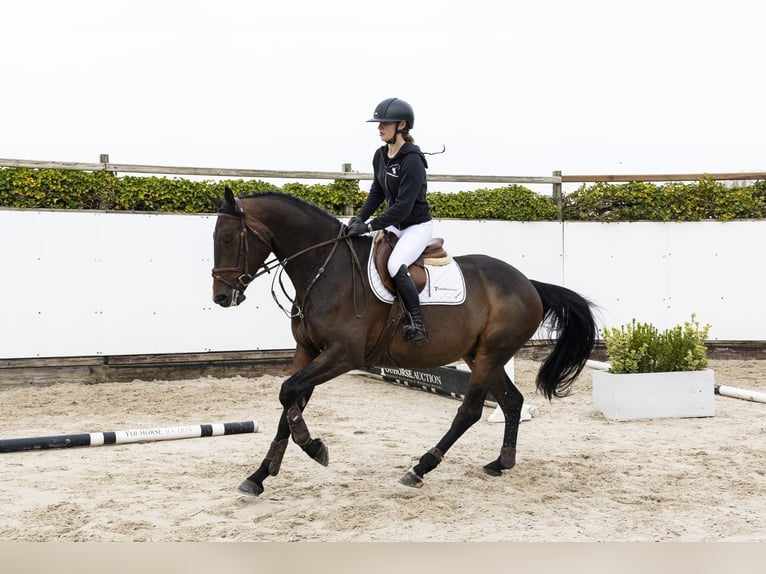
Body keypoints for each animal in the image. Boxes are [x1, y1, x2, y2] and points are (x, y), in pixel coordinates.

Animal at [211, 187, 597, 496]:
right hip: (480, 355)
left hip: (490, 354)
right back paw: (501, 463)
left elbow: (288, 393)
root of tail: (529, 284)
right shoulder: (309, 351)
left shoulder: (342, 355)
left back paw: (419, 468)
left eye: (228, 239)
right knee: (512, 401)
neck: (325, 269)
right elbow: (289, 403)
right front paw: (260, 476)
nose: (221, 297)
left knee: (470, 411)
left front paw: (315, 448)